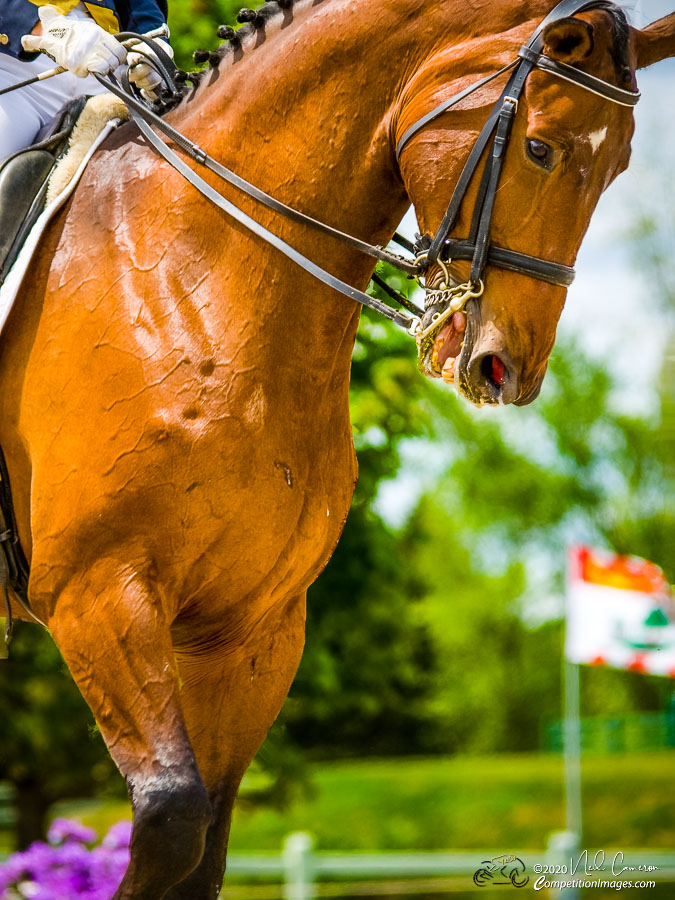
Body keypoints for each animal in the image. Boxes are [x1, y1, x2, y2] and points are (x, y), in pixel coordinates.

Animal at [0, 0, 672, 896]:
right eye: (540, 147)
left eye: (621, 165)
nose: (508, 370)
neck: (188, 276)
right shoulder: (99, 592)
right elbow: (172, 816)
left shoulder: (250, 628)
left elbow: (206, 839)